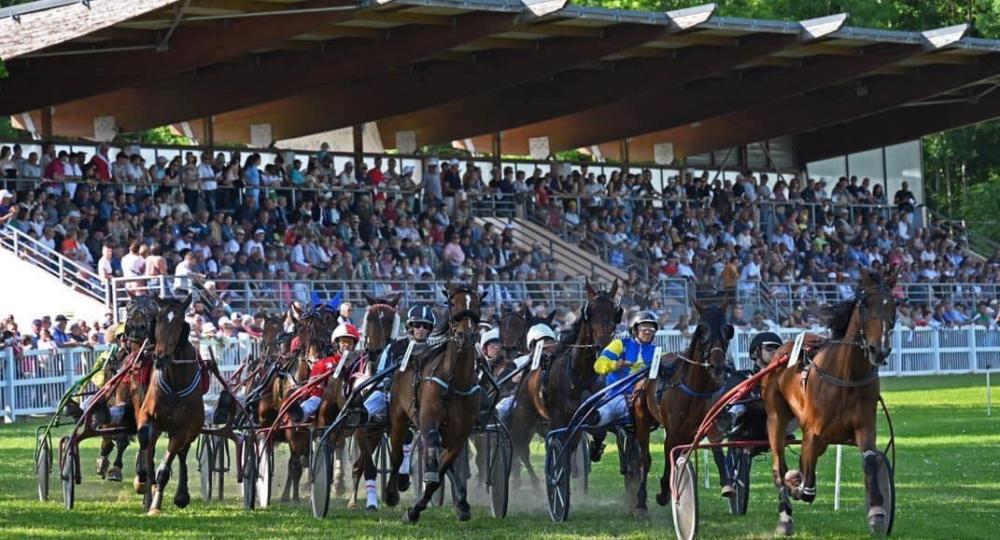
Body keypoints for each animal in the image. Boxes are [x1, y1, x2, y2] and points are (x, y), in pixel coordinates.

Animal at [135, 294, 205, 516]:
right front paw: (147, 490)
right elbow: (145, 442)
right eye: (157, 321)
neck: (175, 381)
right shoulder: (147, 416)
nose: (160, 358)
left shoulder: (183, 428)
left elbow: (165, 468)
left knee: (182, 452)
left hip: (193, 427)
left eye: (180, 324)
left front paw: (155, 506)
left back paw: (181, 495)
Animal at [384, 280, 482, 524]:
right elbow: (431, 453)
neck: (455, 382)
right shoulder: (428, 420)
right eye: (453, 303)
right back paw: (391, 492)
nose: (466, 335)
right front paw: (413, 508)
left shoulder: (460, 435)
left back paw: (462, 502)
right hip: (398, 418)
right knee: (398, 455)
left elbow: (442, 470)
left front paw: (416, 508)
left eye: (477, 304)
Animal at [512, 280, 620, 492]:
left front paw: (595, 450)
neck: (580, 374)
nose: (602, 346)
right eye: (590, 311)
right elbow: (560, 449)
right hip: (523, 419)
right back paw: (536, 484)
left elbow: (598, 430)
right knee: (521, 450)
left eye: (614, 311)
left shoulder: (589, 414)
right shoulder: (559, 418)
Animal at [632, 300, 736, 516]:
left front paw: (728, 485)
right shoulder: (673, 432)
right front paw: (665, 492)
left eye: (727, 330)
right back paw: (641, 501)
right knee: (645, 459)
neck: (696, 390)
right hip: (642, 420)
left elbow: (717, 450)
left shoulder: (708, 424)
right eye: (701, 329)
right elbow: (667, 457)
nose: (717, 366)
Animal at [764, 270, 900, 536]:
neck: (847, 376)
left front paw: (877, 513)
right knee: (779, 467)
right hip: (776, 418)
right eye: (866, 304)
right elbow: (807, 488)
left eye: (894, 305)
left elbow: (870, 461)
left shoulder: (864, 427)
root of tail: (782, 350)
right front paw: (796, 488)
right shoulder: (813, 432)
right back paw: (785, 515)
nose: (879, 350)